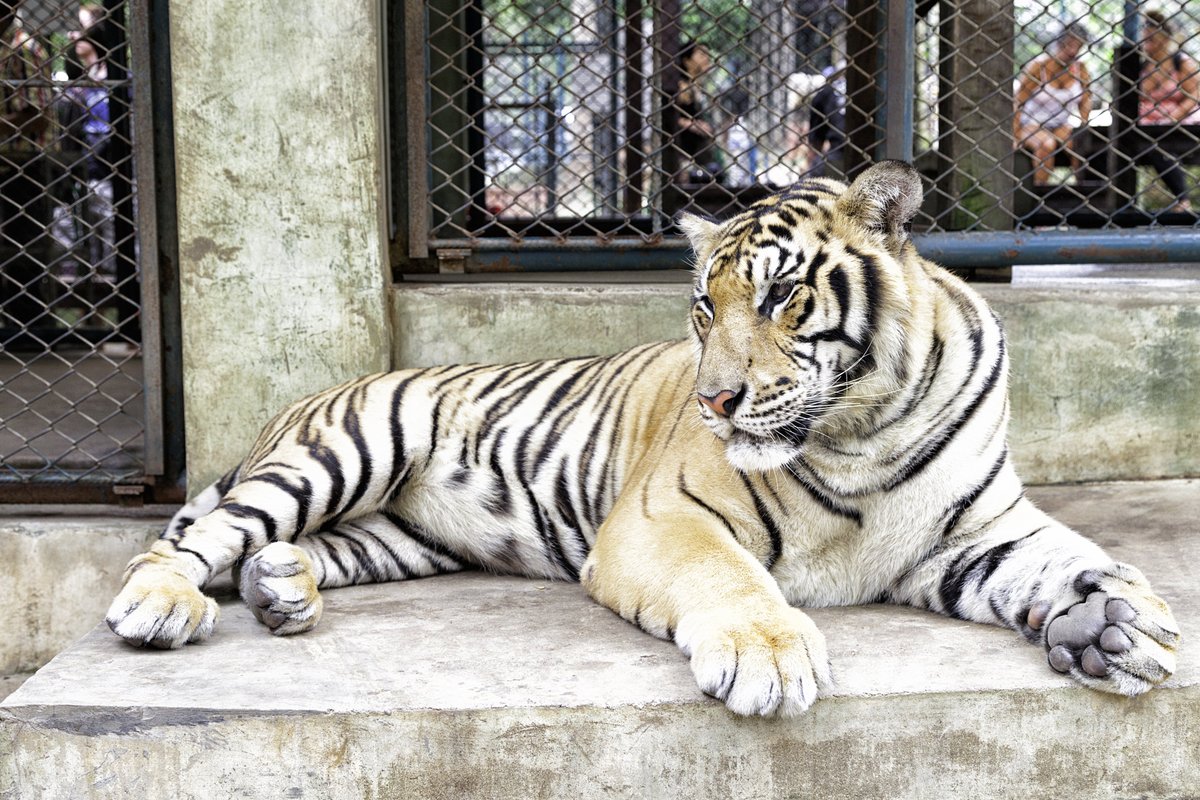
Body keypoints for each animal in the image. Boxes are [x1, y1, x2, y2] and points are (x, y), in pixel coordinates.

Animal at [106, 160, 1179, 717]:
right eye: (705, 308)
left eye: (782, 298)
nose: (715, 402)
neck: (864, 428)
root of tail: (308, 401)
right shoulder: (665, 519)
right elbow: (729, 579)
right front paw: (771, 656)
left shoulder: (973, 534)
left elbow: (1074, 558)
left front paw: (1126, 625)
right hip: (348, 450)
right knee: (194, 538)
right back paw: (160, 608)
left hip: (399, 533)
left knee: (287, 549)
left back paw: (280, 590)